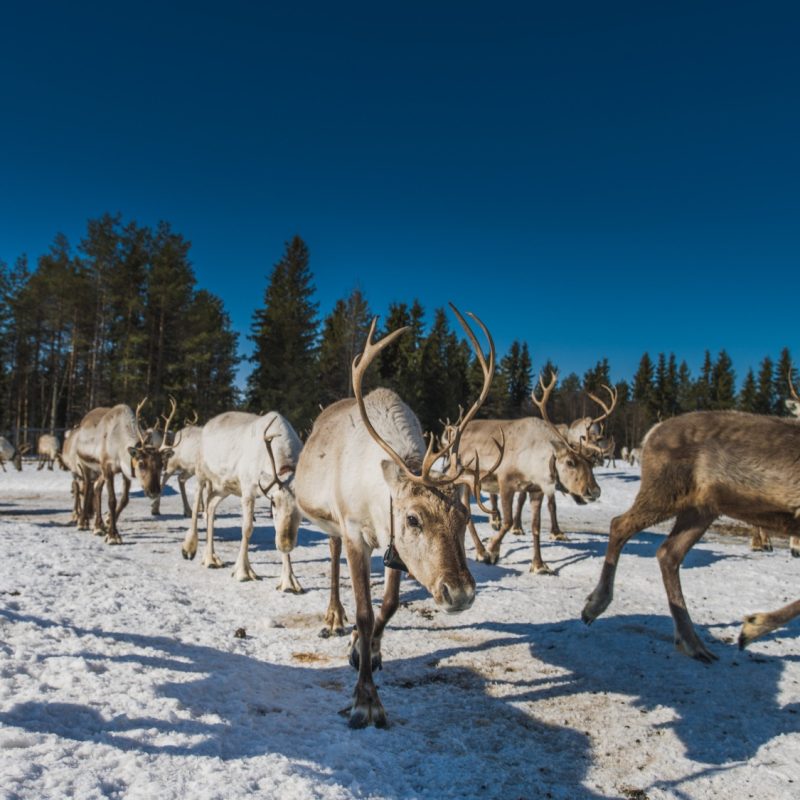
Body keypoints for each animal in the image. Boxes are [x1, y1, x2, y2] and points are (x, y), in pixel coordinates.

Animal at [74, 399, 174, 543]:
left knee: (97, 487)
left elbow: (124, 500)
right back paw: (83, 522)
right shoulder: (107, 467)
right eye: (141, 463)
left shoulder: (124, 471)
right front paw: (113, 535)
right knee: (88, 488)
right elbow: (112, 500)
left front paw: (108, 523)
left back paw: (98, 526)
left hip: (99, 471)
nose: (154, 491)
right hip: (86, 465)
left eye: (161, 464)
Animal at [180, 410, 303, 589]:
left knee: (210, 504)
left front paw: (289, 581)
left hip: (225, 487)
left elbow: (277, 528)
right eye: (273, 503)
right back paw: (189, 548)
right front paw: (243, 571)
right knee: (197, 503)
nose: (285, 545)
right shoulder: (248, 490)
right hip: (201, 471)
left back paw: (210, 558)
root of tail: (207, 424)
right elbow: (247, 528)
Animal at [294, 305, 498, 728]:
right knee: (333, 555)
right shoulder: (356, 533)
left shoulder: (392, 548)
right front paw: (366, 700)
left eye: (465, 516)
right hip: (330, 522)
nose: (460, 594)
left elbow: (386, 606)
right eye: (413, 519)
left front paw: (366, 650)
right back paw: (333, 617)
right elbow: (364, 611)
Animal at [457, 371, 601, 573]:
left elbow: (536, 526)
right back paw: (480, 550)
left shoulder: (536, 490)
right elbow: (508, 521)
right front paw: (492, 550)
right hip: (463, 476)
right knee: (467, 509)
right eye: (570, 462)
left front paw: (539, 565)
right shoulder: (505, 483)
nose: (595, 491)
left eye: (591, 463)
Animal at [581, 409, 800, 659]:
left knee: (669, 552)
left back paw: (692, 643)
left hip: (701, 509)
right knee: (619, 524)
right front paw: (752, 627)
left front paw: (752, 628)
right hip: (667, 491)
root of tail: (652, 433)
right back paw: (594, 606)